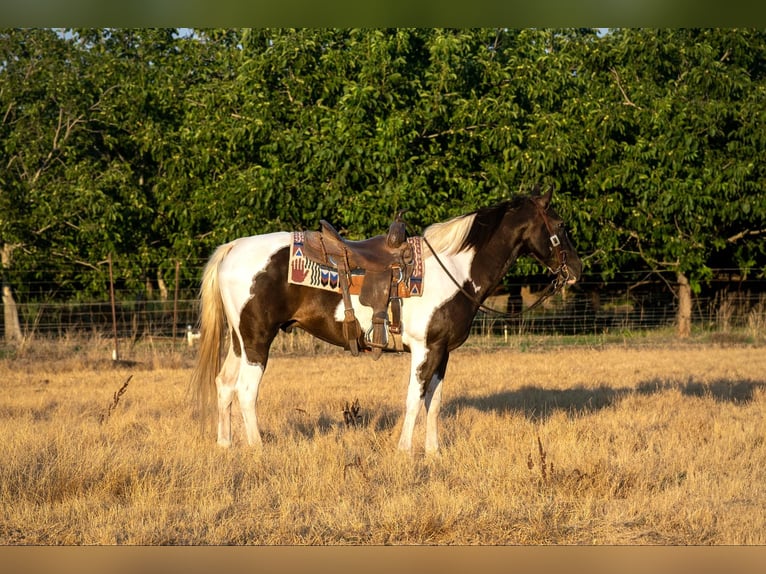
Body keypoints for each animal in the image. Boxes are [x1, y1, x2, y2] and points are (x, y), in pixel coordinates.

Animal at [190, 188, 582, 454]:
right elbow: (414, 398)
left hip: (240, 342)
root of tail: (233, 248)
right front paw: (405, 450)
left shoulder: (442, 351)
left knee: (224, 384)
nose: (576, 270)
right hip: (258, 339)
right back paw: (257, 448)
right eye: (562, 225)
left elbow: (434, 402)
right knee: (245, 391)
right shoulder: (424, 349)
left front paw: (433, 452)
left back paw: (225, 445)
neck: (453, 268)